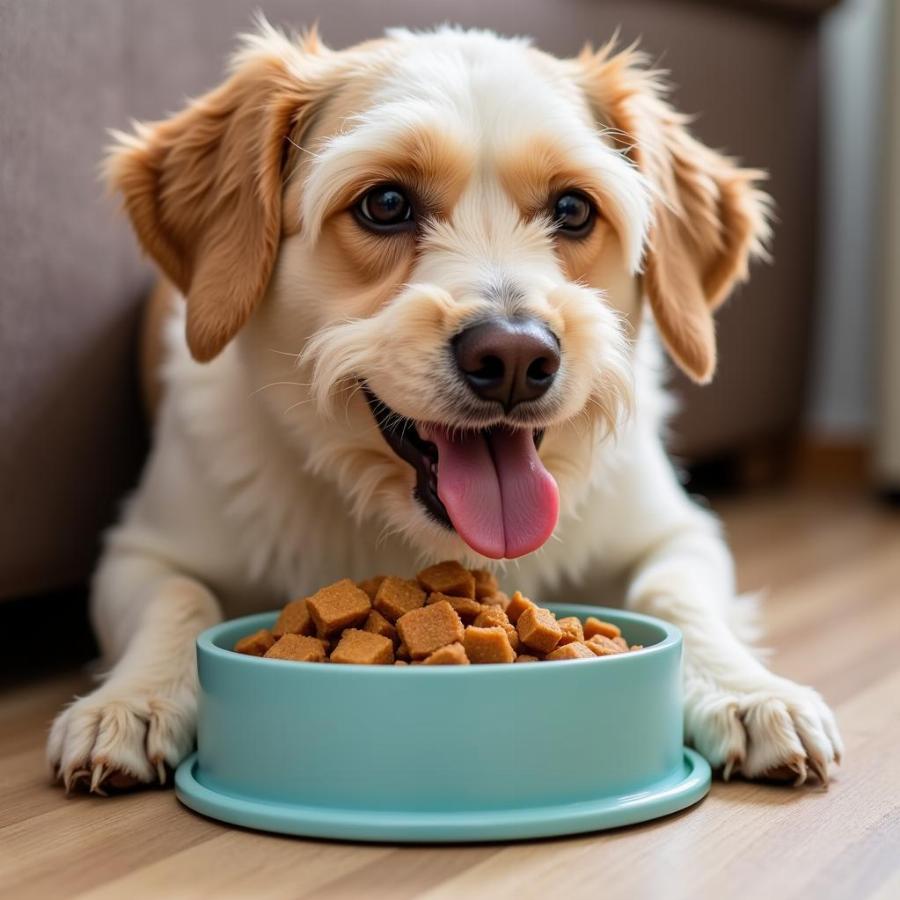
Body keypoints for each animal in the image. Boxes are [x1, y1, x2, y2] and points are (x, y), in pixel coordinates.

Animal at [45, 19, 840, 796]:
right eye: (385, 204)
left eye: (574, 209)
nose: (515, 359)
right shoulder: (139, 552)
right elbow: (180, 599)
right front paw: (132, 699)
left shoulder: (679, 532)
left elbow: (676, 594)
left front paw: (747, 689)